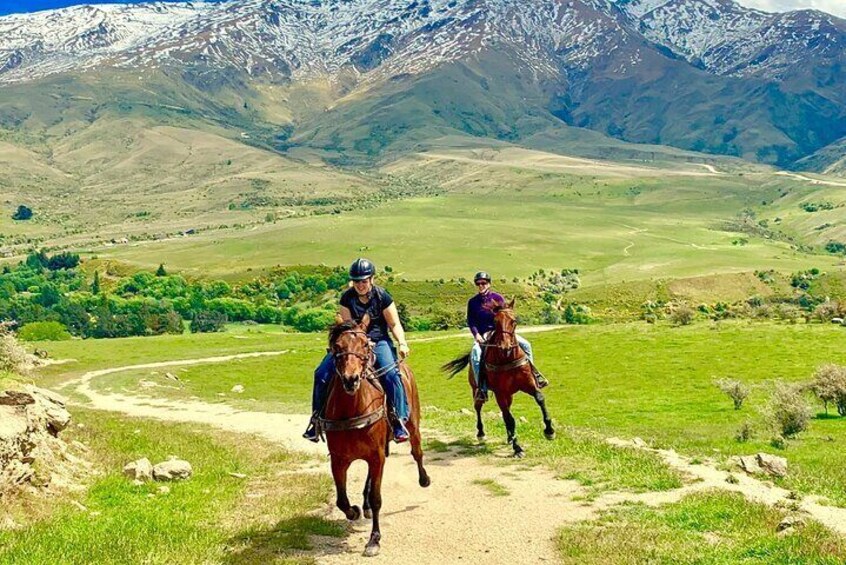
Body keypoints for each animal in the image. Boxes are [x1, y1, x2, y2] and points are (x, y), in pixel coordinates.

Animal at [322, 318, 434, 556]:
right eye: (337, 346)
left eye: (365, 345)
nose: (351, 379)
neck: (352, 410)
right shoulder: (338, 460)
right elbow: (341, 500)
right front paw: (354, 511)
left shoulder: (377, 455)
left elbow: (376, 499)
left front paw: (374, 540)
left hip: (413, 425)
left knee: (417, 452)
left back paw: (424, 479)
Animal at [444, 298, 556, 456]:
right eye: (495, 322)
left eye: (514, 321)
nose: (505, 346)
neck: (507, 358)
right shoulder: (500, 393)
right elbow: (510, 418)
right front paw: (517, 448)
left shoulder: (529, 384)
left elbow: (540, 399)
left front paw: (549, 431)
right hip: (478, 390)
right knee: (479, 407)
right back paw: (481, 434)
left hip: (509, 395)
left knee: (504, 412)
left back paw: (509, 437)